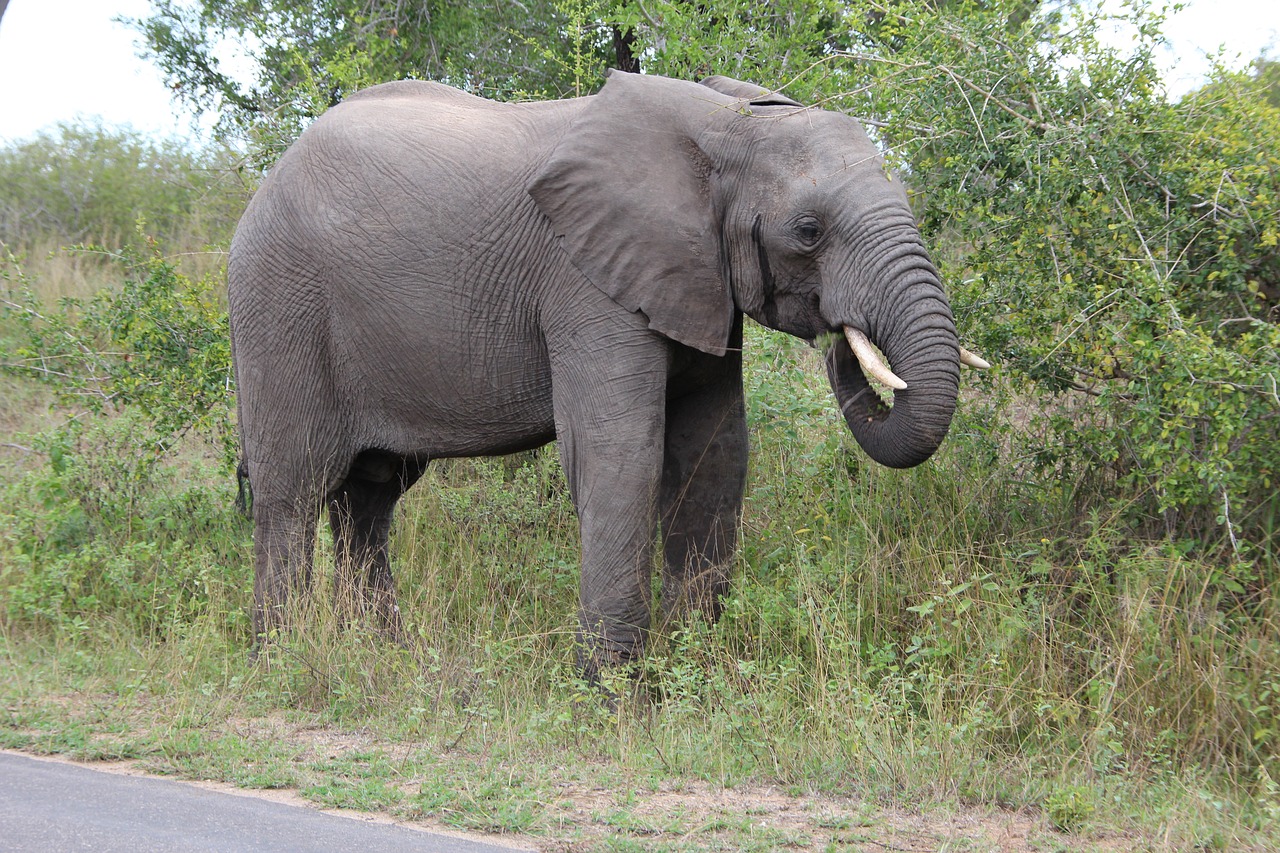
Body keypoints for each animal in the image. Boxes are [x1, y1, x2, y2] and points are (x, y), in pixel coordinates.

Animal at [230, 69, 983, 676]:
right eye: (808, 231)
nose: (841, 341)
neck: (722, 123)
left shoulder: (693, 277)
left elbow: (716, 452)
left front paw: (693, 672)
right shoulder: (586, 280)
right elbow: (619, 452)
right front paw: (614, 695)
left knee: (370, 496)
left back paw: (387, 658)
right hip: (279, 305)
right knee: (294, 488)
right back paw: (283, 664)